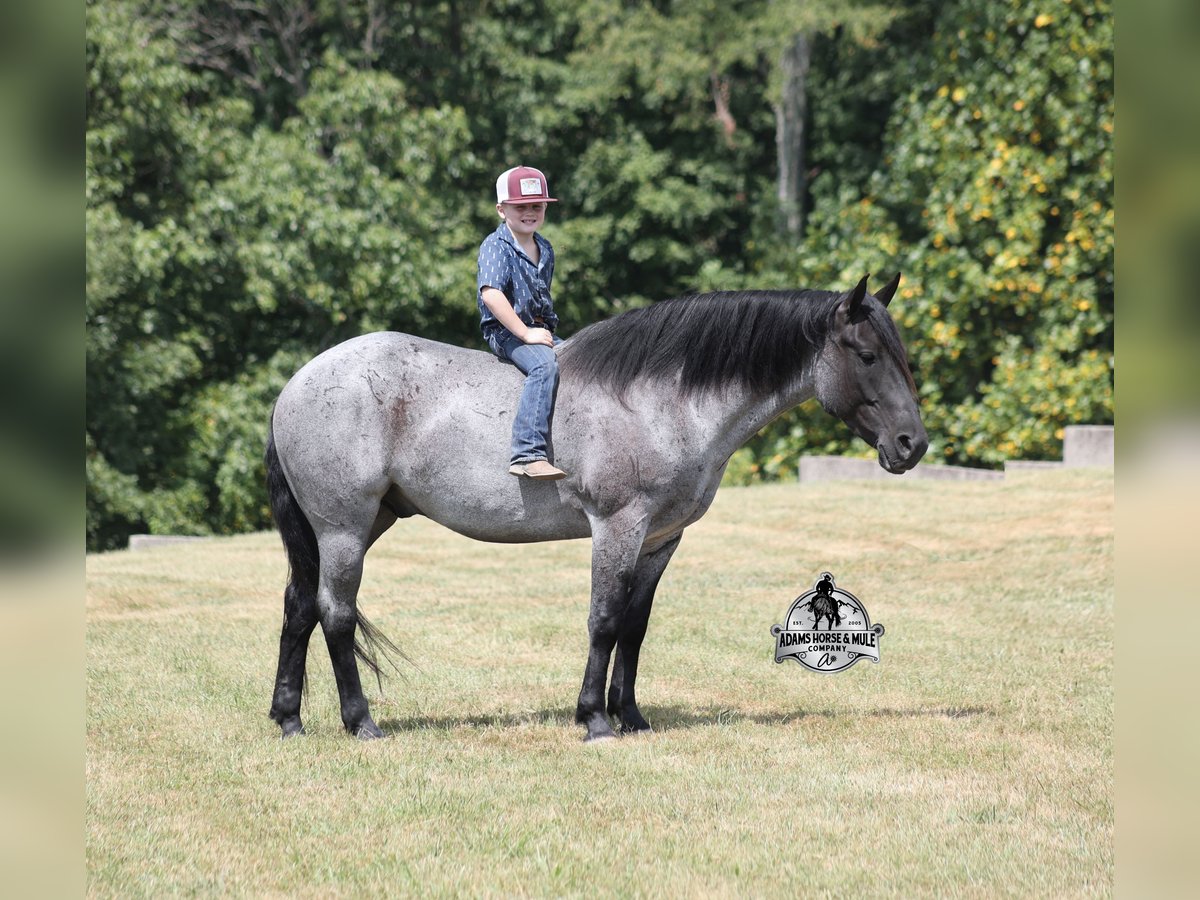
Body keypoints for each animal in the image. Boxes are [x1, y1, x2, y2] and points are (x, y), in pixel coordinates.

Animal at [265, 274, 927, 742]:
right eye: (868, 355)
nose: (912, 445)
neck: (661, 401)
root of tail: (297, 384)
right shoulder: (618, 527)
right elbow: (604, 620)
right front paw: (595, 719)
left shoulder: (661, 538)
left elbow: (634, 626)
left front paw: (630, 715)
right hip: (344, 528)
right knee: (335, 614)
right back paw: (360, 722)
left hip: (351, 527)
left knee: (300, 607)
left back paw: (289, 719)